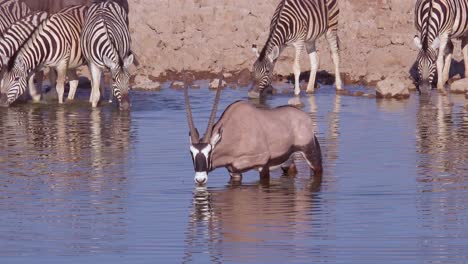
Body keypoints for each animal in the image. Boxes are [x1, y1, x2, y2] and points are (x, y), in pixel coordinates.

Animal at [185, 76, 324, 185]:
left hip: (311, 154)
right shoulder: (234, 172)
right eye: (191, 152)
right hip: (287, 161)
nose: (200, 179)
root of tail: (305, 118)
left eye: (209, 151)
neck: (234, 132)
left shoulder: (263, 166)